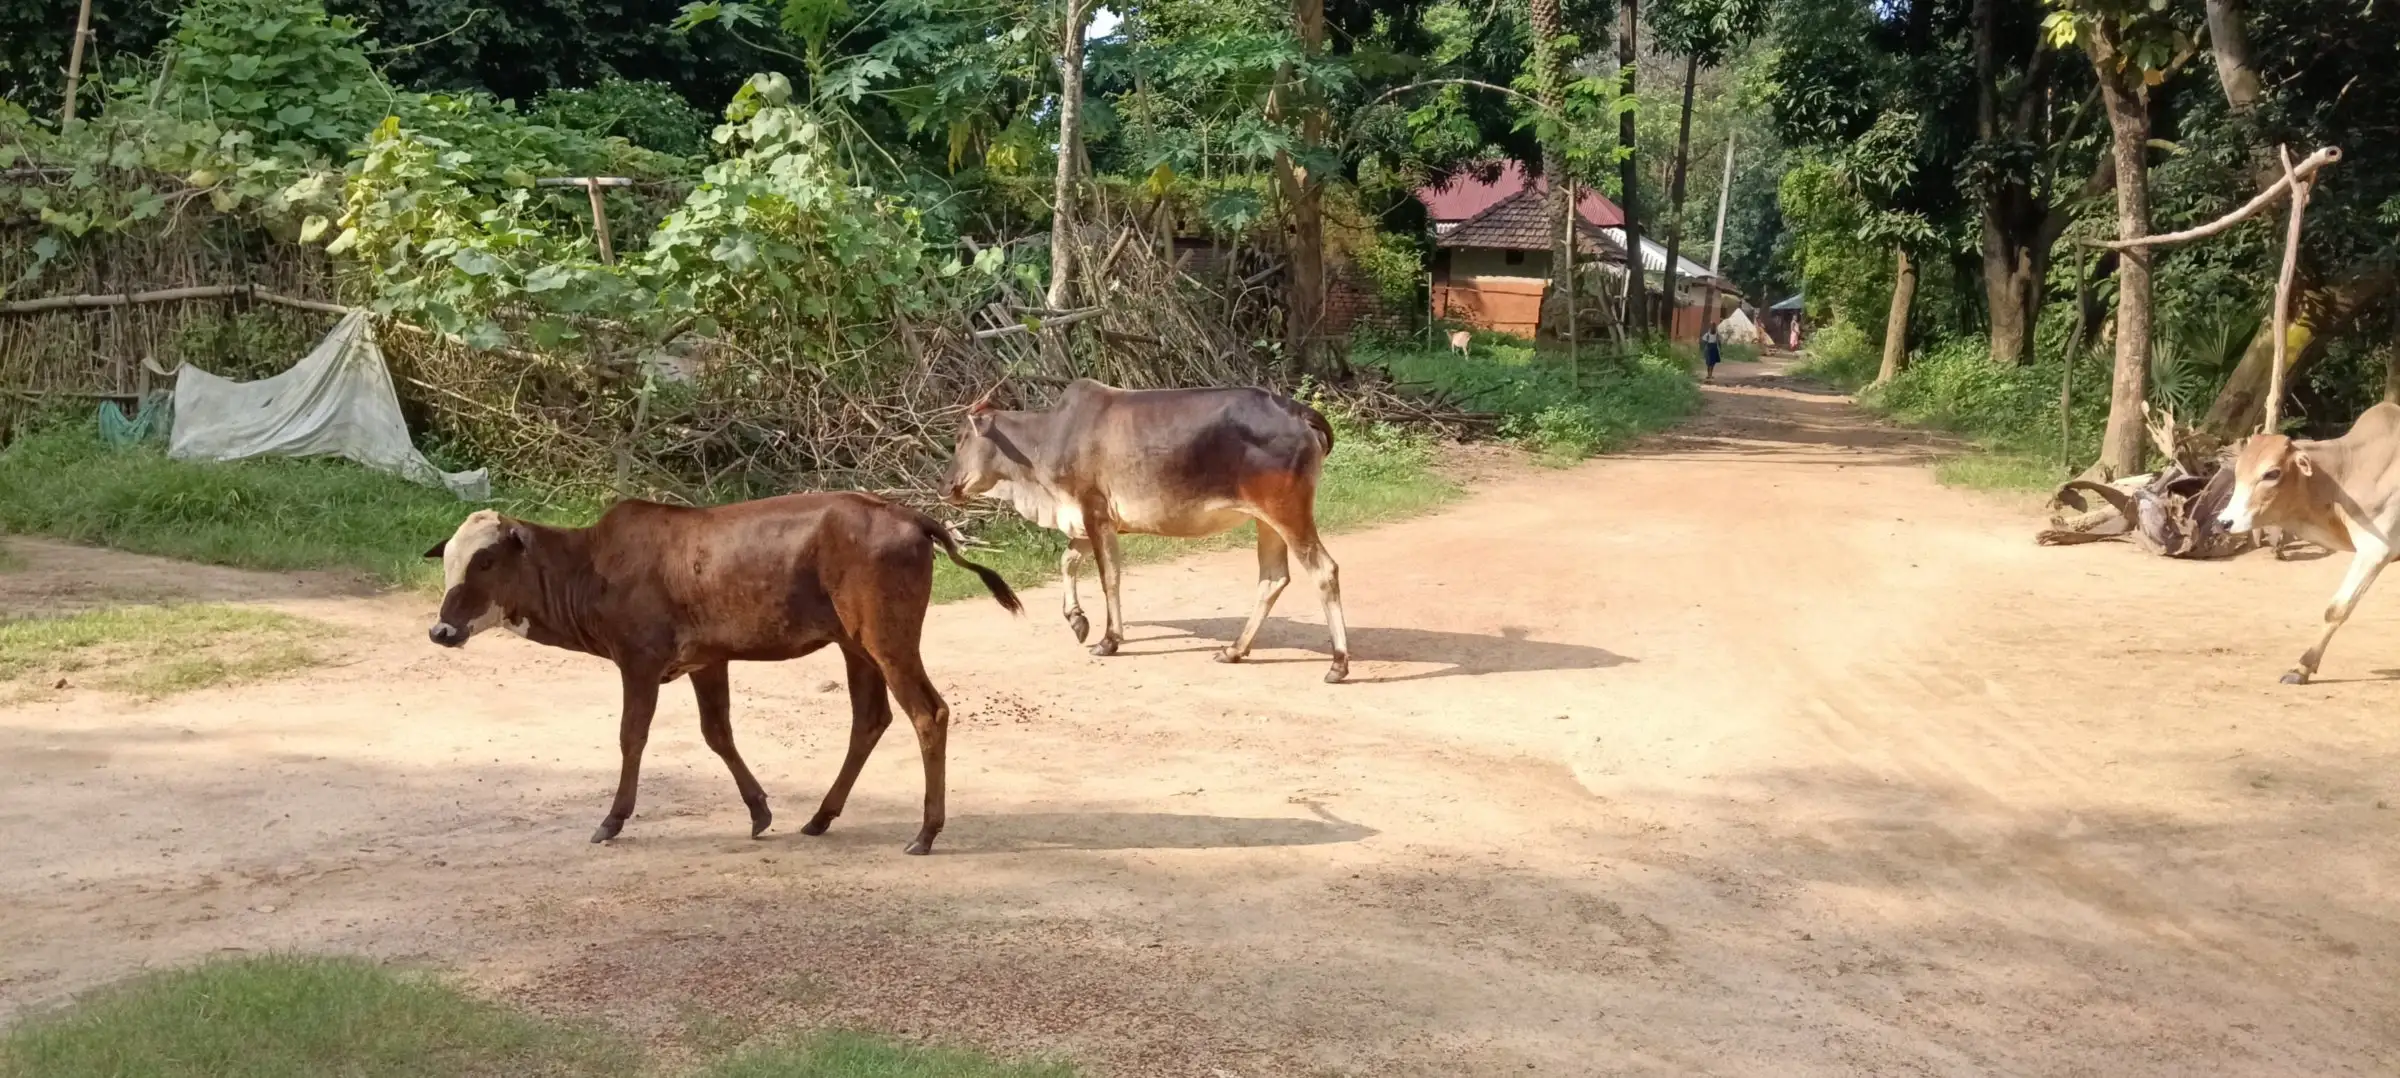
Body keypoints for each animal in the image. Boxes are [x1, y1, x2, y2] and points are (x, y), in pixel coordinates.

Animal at [423, 494, 1021, 854]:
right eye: (449, 560)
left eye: (485, 561)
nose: (442, 630)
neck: (591, 567)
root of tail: (911, 516)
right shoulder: (707, 660)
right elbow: (718, 734)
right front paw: (759, 811)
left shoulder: (639, 661)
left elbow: (631, 738)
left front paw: (612, 820)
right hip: (856, 646)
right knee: (870, 720)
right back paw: (821, 816)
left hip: (887, 640)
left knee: (928, 712)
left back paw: (925, 832)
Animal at [941, 378, 1352, 683]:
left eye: (961, 438)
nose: (946, 486)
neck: (1044, 444)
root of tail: (1300, 412)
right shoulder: (1088, 521)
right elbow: (1067, 561)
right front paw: (1077, 621)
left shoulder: (1094, 513)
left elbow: (1109, 578)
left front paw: (1109, 640)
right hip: (1265, 521)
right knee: (1273, 578)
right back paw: (1235, 650)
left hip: (1287, 513)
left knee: (1324, 570)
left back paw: (1338, 663)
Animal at [2217, 402, 2400, 684]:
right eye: (2238, 473)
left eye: (2271, 473)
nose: (2225, 522)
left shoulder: (2376, 549)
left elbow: (2336, 609)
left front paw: (2301, 667)